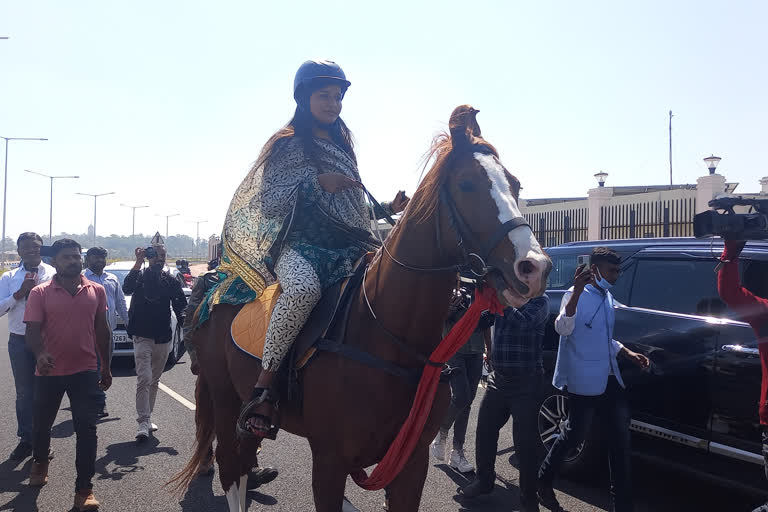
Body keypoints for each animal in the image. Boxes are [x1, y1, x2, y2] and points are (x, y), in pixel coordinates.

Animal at [172, 106, 552, 510]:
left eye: (516, 185)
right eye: (467, 184)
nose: (534, 268)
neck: (388, 338)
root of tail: (217, 287)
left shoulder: (411, 463)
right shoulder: (329, 462)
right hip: (225, 397)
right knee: (231, 467)